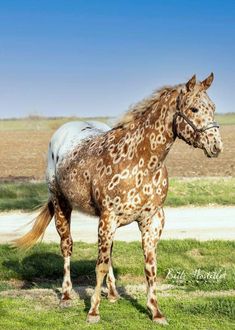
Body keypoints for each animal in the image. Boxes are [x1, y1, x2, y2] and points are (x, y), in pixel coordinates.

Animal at [13, 73, 223, 324]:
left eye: (213, 108)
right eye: (193, 109)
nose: (216, 146)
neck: (140, 160)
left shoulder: (151, 221)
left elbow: (149, 267)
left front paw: (155, 311)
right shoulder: (108, 217)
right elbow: (100, 266)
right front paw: (93, 311)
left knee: (108, 252)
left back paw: (113, 293)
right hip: (62, 205)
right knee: (67, 247)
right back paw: (66, 295)